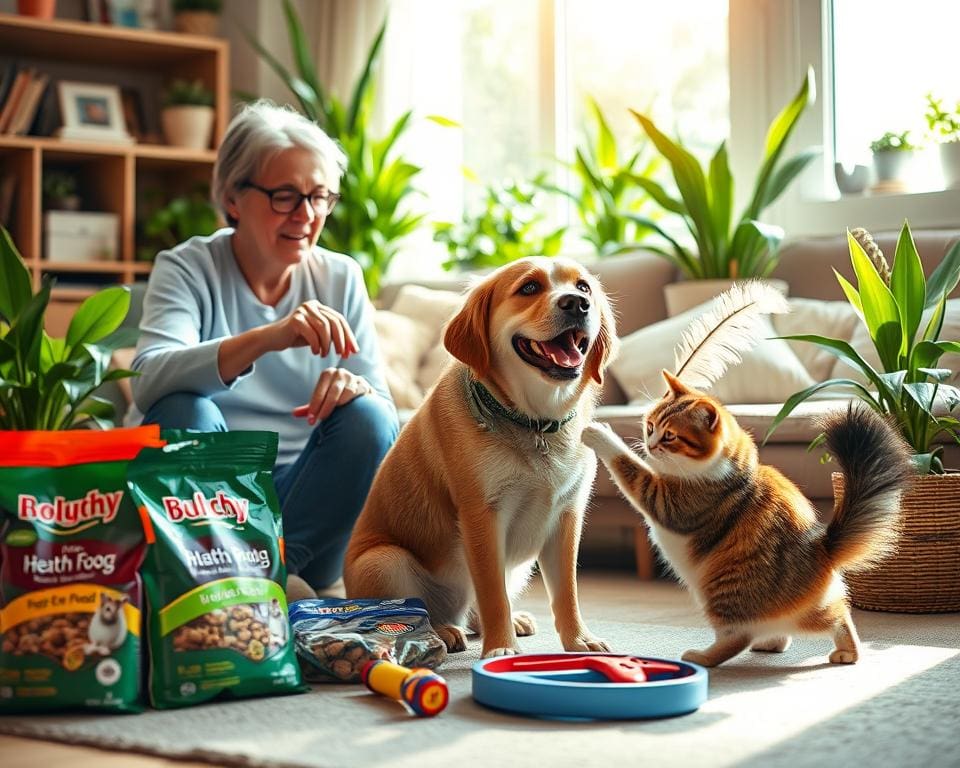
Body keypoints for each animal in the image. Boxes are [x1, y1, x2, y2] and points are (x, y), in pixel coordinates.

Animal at [344, 255, 616, 656]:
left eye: (583, 287)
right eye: (529, 287)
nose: (576, 304)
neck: (535, 423)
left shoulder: (567, 516)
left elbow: (567, 592)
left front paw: (579, 639)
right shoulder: (482, 516)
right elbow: (492, 594)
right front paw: (500, 647)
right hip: (383, 560)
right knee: (412, 614)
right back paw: (444, 630)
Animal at [580, 370, 912, 664]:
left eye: (671, 436)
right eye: (649, 426)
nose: (649, 445)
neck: (734, 470)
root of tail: (823, 547)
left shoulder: (666, 501)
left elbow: (629, 465)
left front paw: (598, 433)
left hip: (723, 591)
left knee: (738, 637)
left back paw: (703, 657)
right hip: (809, 607)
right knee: (833, 616)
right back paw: (793, 645)